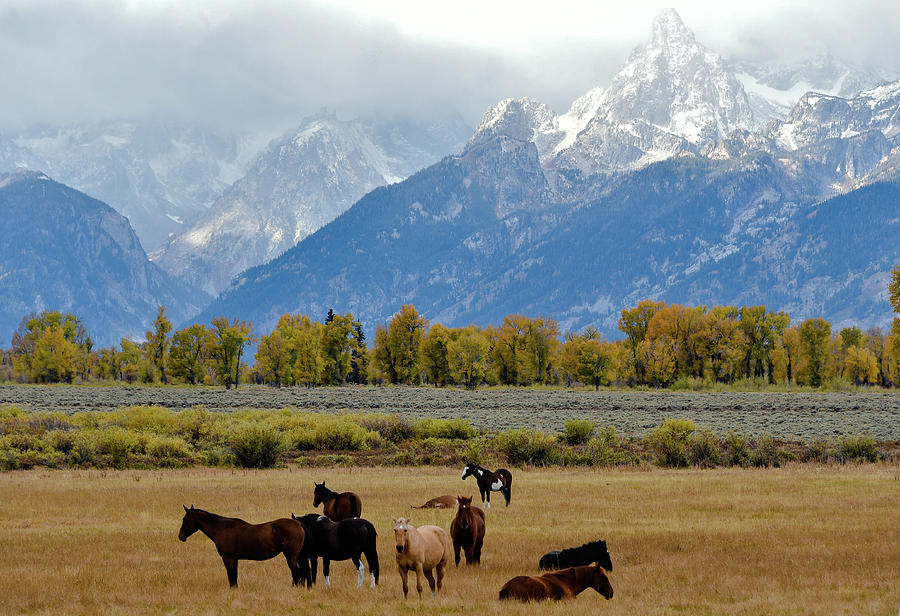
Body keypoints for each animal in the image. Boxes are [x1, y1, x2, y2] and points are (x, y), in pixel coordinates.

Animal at [178, 506, 312, 588]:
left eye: (184, 519)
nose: (181, 536)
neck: (222, 528)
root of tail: (298, 523)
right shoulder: (234, 559)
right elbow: (234, 575)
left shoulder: (227, 558)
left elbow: (231, 575)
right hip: (299, 556)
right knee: (304, 571)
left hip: (291, 556)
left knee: (296, 572)